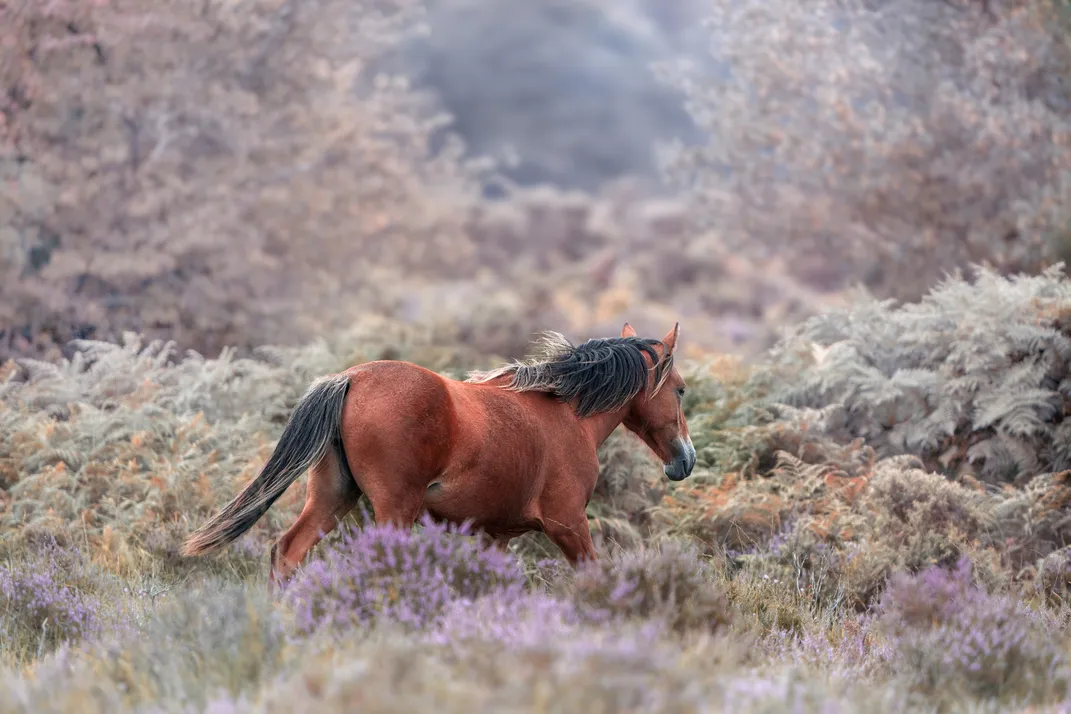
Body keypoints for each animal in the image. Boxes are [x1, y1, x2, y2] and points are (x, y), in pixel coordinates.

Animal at [182, 321, 702, 590]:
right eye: (679, 389)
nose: (685, 460)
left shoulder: (495, 534)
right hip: (394, 509)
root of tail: (351, 378)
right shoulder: (568, 524)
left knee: (288, 552)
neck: (566, 410)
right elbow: (594, 575)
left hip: (332, 498)